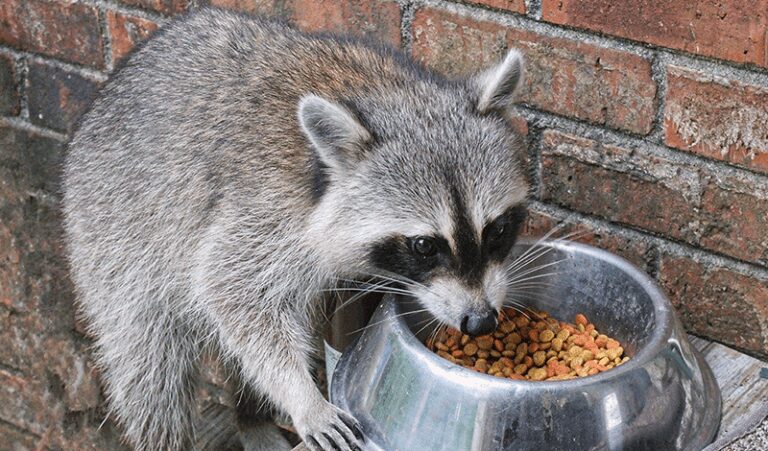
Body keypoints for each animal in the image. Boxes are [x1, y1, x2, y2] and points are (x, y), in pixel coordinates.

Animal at [62, 7, 529, 451]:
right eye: (424, 245)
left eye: (497, 229)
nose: (480, 321)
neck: (392, 93)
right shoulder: (262, 208)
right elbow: (230, 289)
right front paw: (303, 398)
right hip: (112, 237)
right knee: (149, 366)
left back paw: (250, 415)